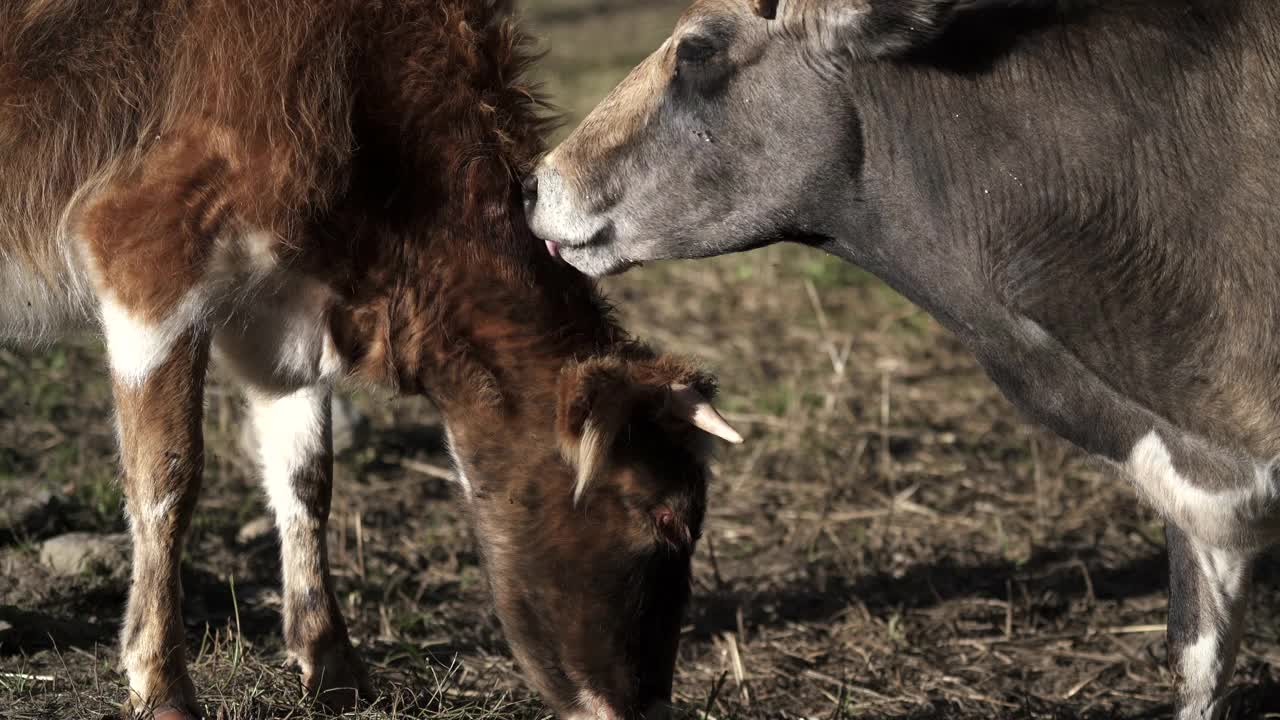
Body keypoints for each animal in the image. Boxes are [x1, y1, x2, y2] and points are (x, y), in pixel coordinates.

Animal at [2, 1, 742, 717]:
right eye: (667, 518)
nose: (649, 705)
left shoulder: (279, 319)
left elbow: (306, 479)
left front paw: (334, 670)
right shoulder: (147, 248)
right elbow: (166, 479)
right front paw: (161, 684)